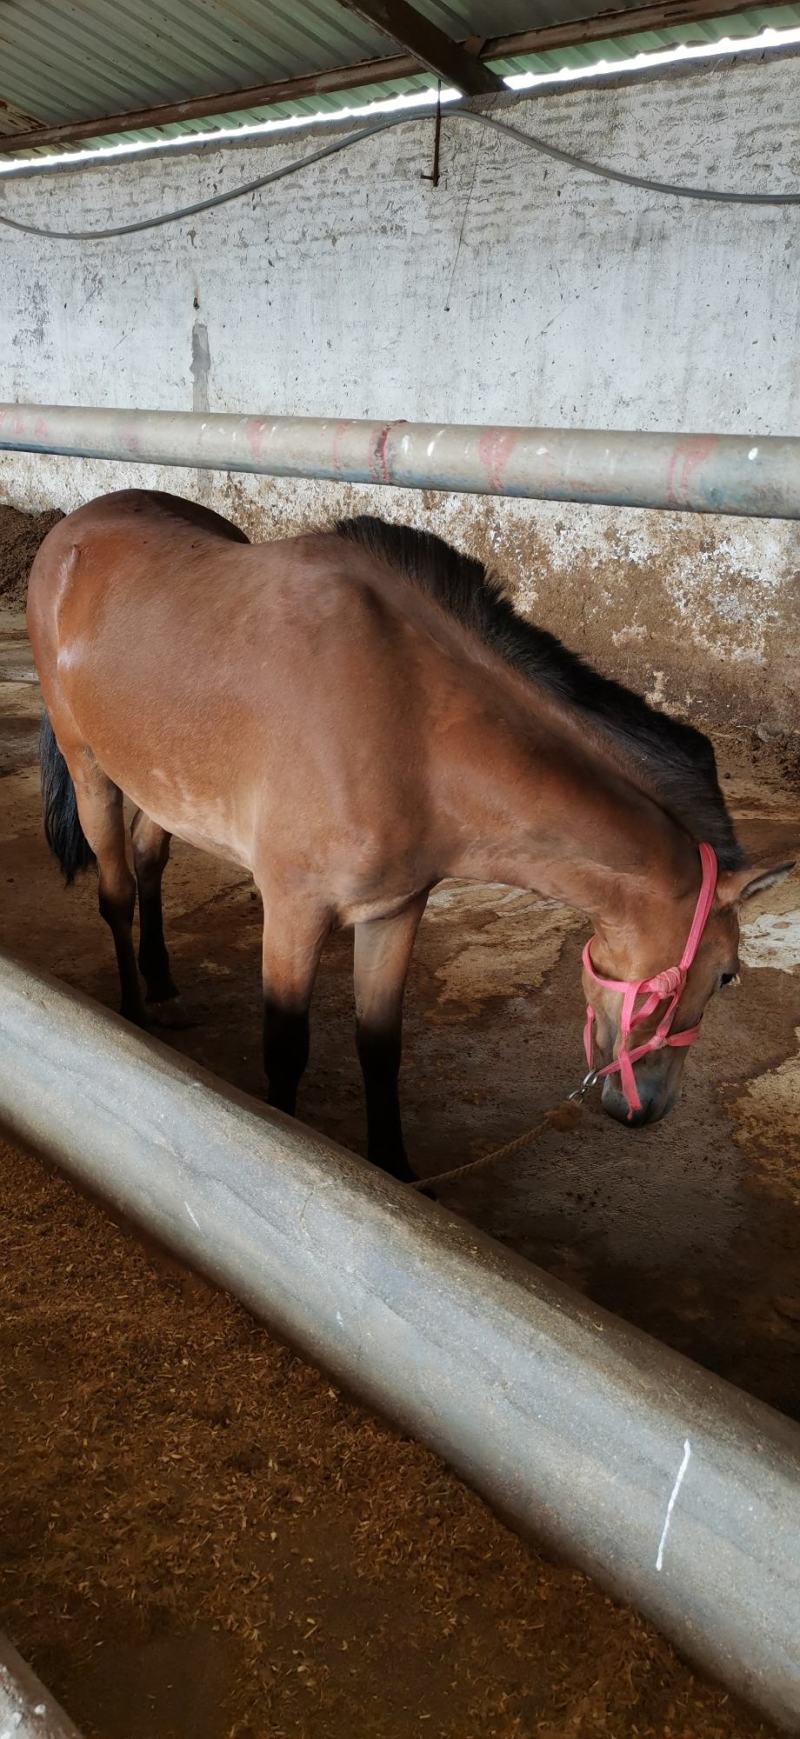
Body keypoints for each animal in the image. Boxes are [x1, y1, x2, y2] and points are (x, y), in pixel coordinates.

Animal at [27, 489, 792, 1180]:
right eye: (727, 972)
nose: (647, 1107)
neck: (410, 725)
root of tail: (73, 526)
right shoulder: (294, 914)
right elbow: (285, 1047)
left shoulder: (394, 911)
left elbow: (380, 1046)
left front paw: (392, 1168)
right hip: (89, 769)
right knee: (118, 892)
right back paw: (133, 1010)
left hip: (166, 787)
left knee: (150, 863)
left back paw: (162, 985)